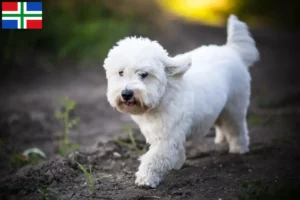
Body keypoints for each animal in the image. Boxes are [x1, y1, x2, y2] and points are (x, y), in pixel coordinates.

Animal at [102, 15, 258, 188]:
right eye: (120, 72)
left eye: (143, 74)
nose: (126, 94)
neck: (163, 95)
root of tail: (231, 50)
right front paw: (177, 163)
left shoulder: (167, 137)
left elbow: (154, 158)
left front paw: (146, 178)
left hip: (234, 107)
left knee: (236, 128)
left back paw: (239, 148)